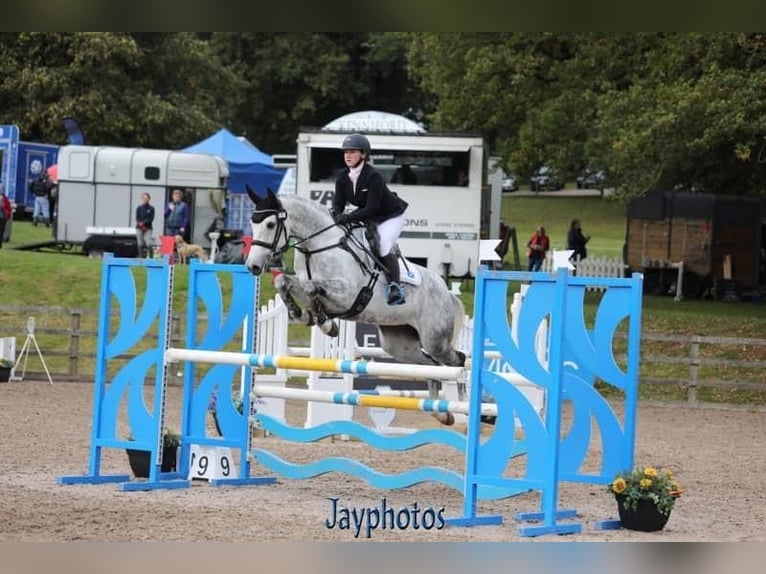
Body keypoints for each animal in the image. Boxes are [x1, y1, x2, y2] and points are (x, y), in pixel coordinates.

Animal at [243, 187, 467, 425]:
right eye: (252, 224)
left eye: (270, 224)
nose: (253, 266)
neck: (317, 247)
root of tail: (446, 291)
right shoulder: (303, 283)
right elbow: (284, 282)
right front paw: (302, 314)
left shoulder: (348, 293)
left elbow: (313, 289)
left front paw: (326, 324)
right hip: (400, 345)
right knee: (431, 366)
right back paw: (441, 413)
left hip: (435, 340)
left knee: (458, 361)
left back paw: (463, 410)